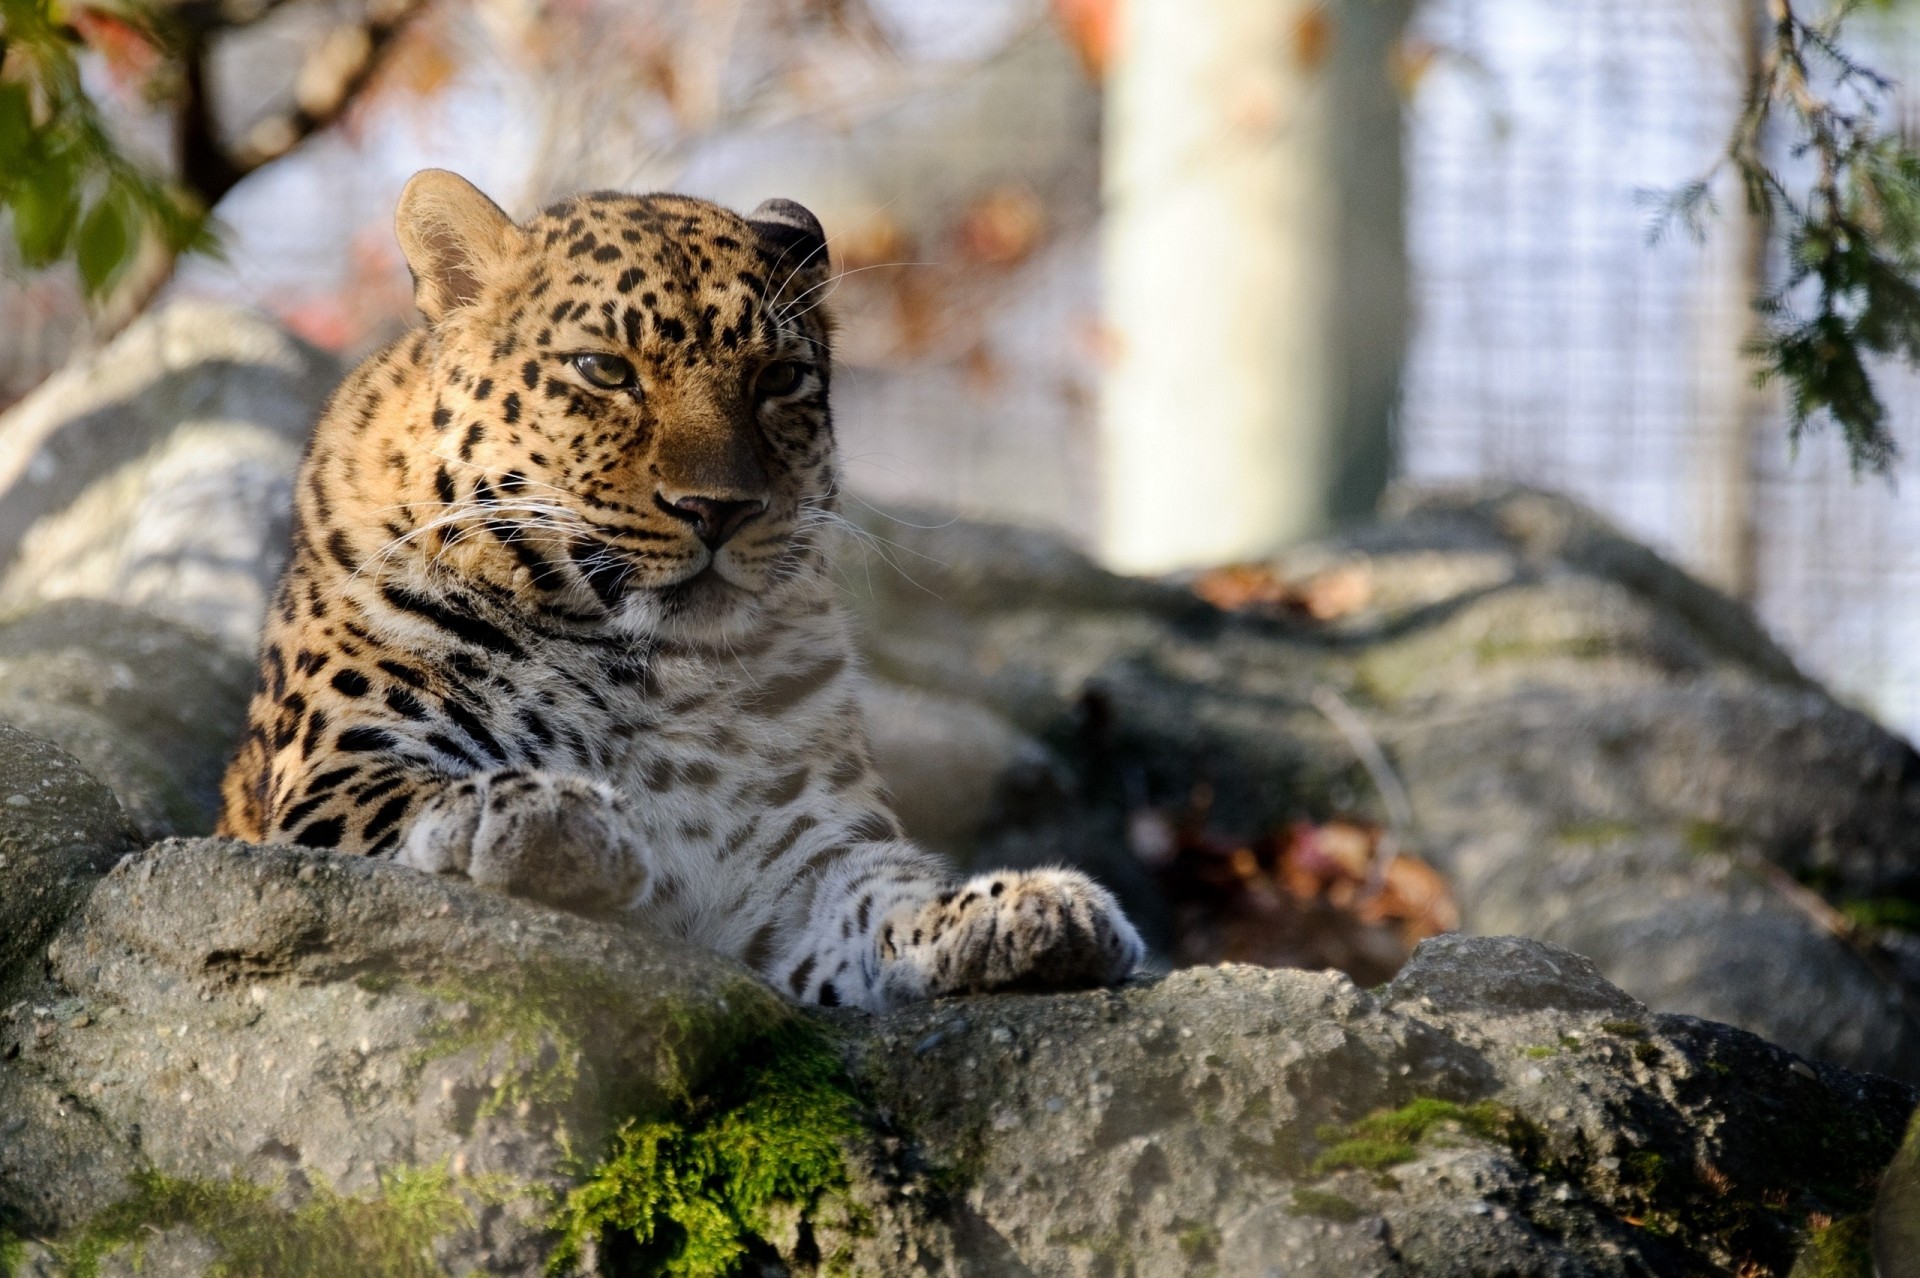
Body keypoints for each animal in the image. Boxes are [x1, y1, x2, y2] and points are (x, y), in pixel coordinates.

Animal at [216, 168, 1143, 1012]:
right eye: (603, 370)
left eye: (777, 379)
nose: (719, 509)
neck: (636, 665)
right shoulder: (337, 775)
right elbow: (426, 791)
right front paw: (548, 816)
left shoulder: (792, 866)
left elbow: (879, 897)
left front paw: (1025, 909)